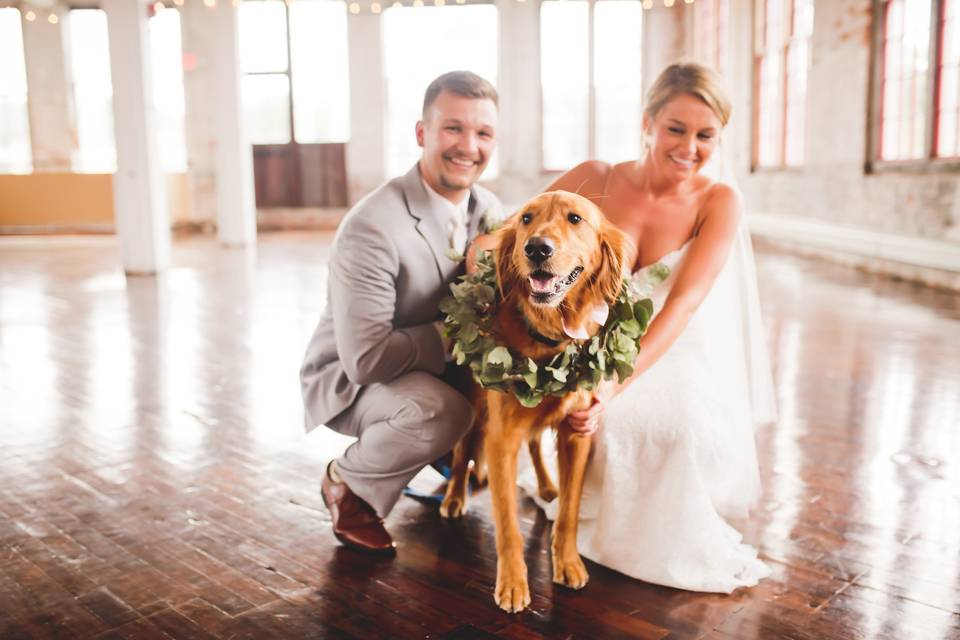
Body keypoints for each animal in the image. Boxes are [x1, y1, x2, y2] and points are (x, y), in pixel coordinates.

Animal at [438, 191, 628, 616]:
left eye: (575, 219)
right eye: (526, 218)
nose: (537, 248)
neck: (548, 337)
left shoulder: (576, 431)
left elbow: (569, 514)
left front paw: (568, 563)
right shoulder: (501, 438)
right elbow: (508, 525)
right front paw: (512, 584)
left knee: (536, 444)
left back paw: (545, 485)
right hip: (476, 407)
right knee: (462, 452)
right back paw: (454, 496)